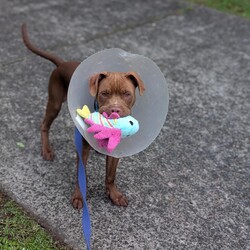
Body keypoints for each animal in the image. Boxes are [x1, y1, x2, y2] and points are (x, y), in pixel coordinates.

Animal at [22, 23, 146, 207]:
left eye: (126, 94)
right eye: (104, 93)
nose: (115, 110)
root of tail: (62, 64)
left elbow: (111, 174)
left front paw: (113, 194)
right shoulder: (82, 148)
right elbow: (82, 174)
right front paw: (79, 196)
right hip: (55, 103)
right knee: (44, 125)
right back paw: (46, 150)